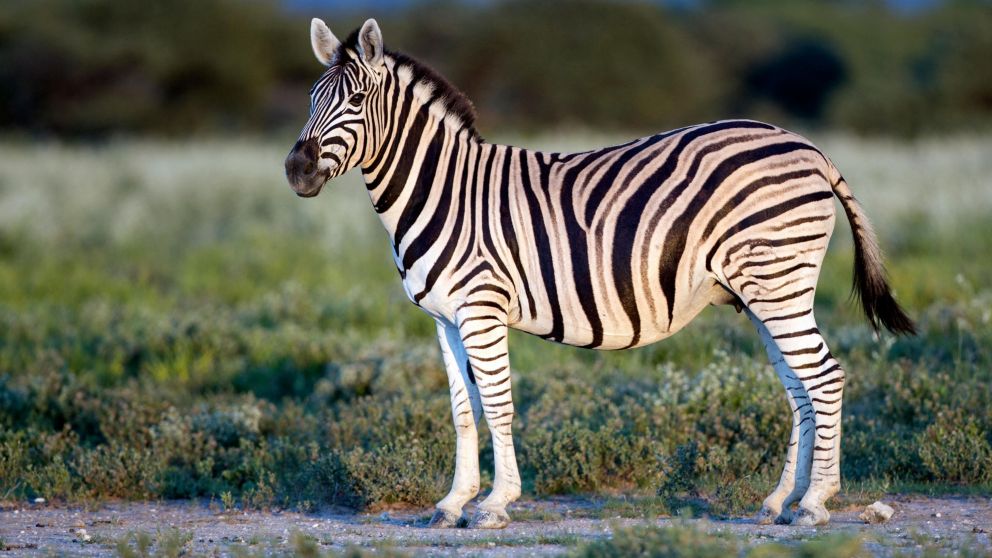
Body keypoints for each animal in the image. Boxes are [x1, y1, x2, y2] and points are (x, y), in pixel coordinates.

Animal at [284, 18, 915, 529]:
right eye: (311, 98)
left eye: (356, 99)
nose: (296, 170)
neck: (443, 190)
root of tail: (808, 147)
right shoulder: (443, 318)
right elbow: (463, 411)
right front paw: (452, 503)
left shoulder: (482, 308)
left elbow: (498, 403)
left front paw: (494, 505)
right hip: (764, 291)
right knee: (801, 389)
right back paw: (780, 501)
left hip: (778, 281)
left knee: (825, 377)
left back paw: (814, 505)